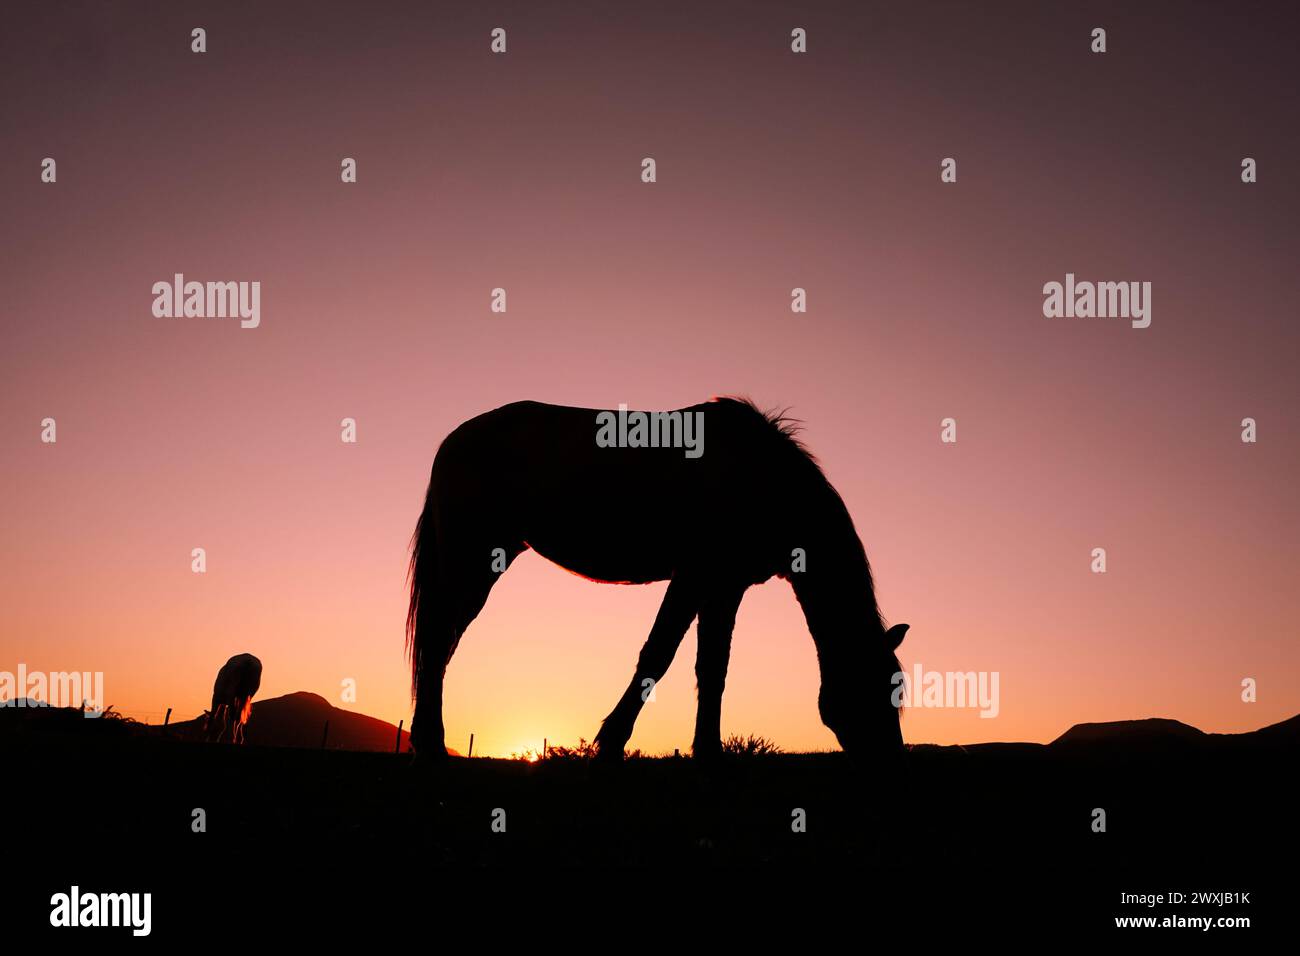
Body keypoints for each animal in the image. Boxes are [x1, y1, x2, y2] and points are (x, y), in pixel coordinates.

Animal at [403, 400, 904, 759]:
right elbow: (659, 656)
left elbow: (712, 667)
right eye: (878, 689)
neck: (763, 481)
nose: (892, 758)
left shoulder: (725, 586)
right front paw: (613, 741)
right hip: (472, 562)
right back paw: (430, 744)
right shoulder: (695, 576)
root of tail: (454, 440)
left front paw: (707, 751)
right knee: (439, 639)